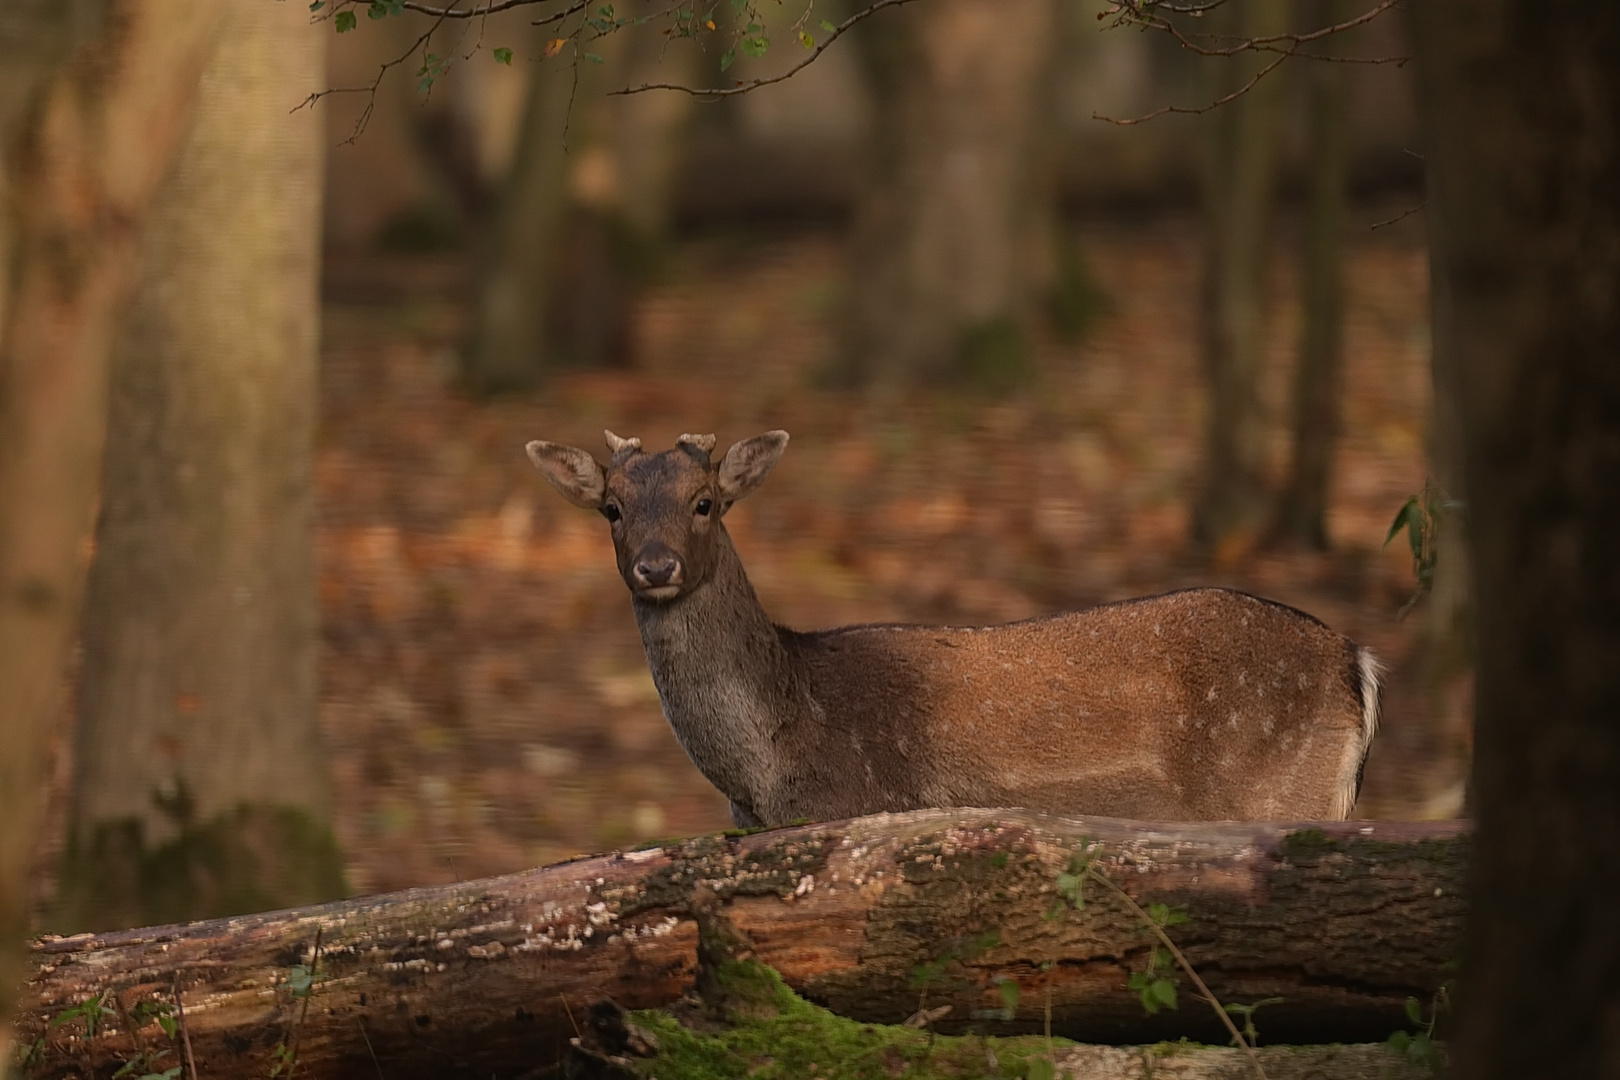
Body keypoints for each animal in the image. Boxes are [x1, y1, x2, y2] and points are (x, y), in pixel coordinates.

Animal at [528, 430, 1380, 829]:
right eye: (612, 509)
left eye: (704, 501)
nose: (656, 565)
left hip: (1278, 795)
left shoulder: (858, 814)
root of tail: (1356, 661)